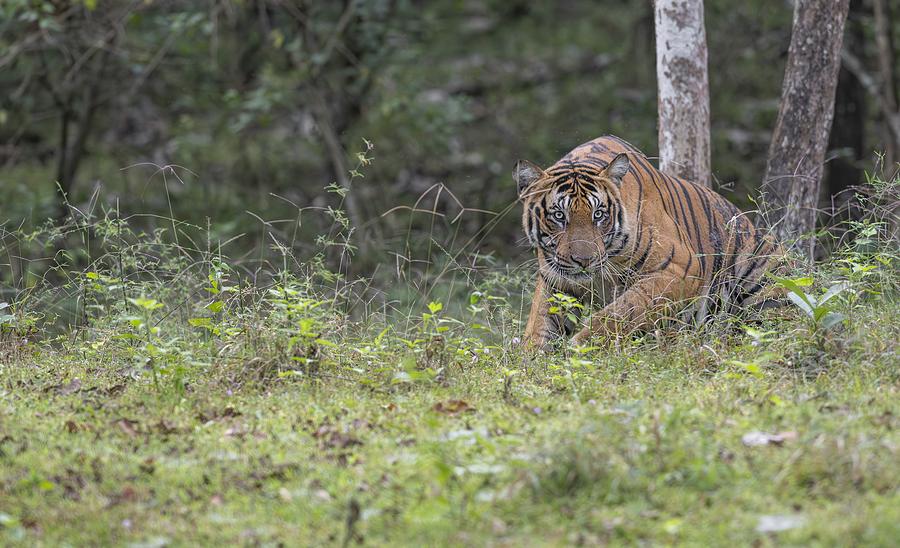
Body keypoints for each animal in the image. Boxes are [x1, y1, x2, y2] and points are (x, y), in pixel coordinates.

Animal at [516, 134, 784, 346]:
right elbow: (540, 325)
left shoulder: (680, 269)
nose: (584, 261)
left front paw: (581, 346)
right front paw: (533, 360)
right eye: (559, 216)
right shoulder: (554, 280)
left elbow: (622, 311)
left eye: (599, 215)